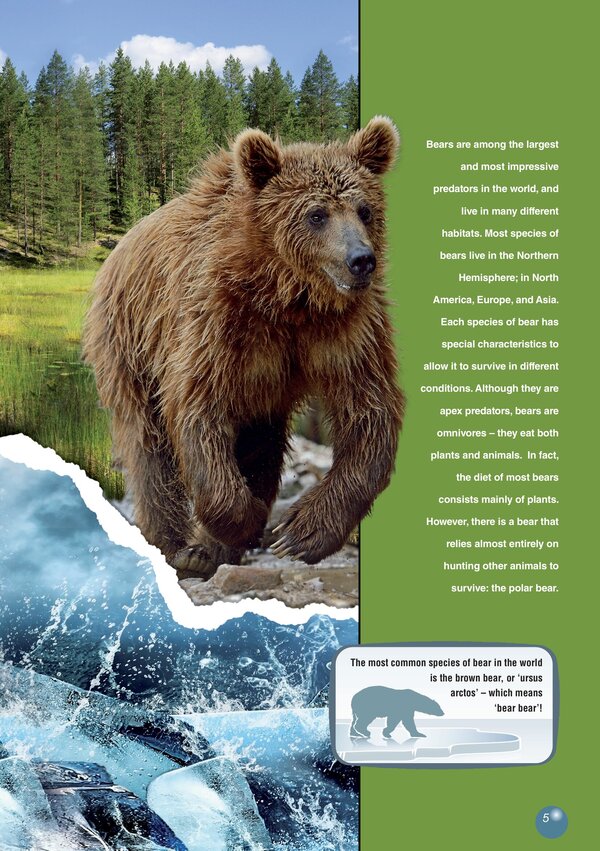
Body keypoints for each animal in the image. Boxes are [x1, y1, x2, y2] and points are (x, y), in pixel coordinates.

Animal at [83, 117, 404, 578]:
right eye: (316, 214)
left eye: (364, 210)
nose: (361, 260)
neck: (287, 295)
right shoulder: (215, 320)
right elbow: (197, 410)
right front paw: (242, 521)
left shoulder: (347, 331)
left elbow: (369, 412)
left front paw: (298, 532)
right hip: (127, 339)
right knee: (148, 443)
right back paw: (178, 544)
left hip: (261, 391)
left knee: (261, 444)